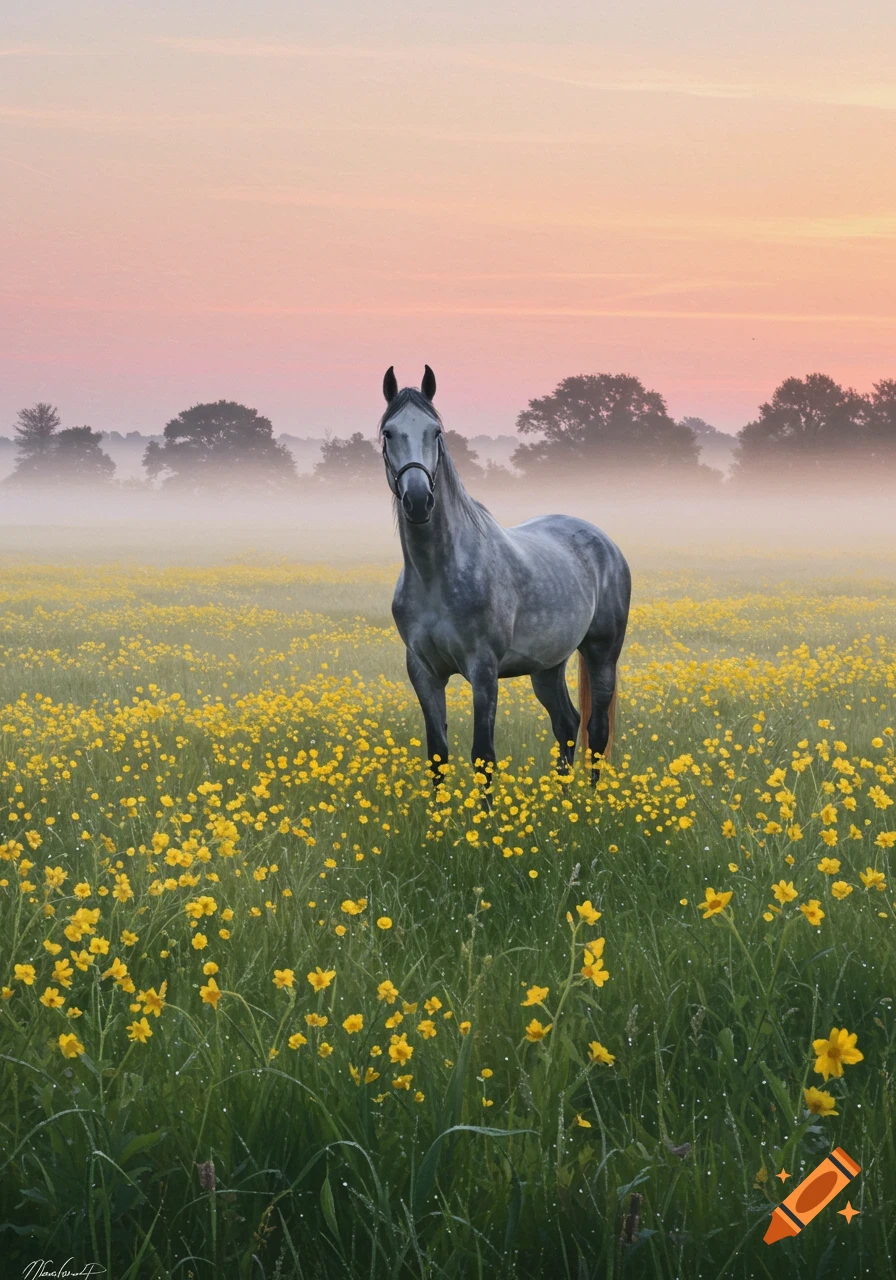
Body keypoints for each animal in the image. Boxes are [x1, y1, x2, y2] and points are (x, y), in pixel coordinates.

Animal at [380, 365, 631, 786]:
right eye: (388, 432)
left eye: (436, 432)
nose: (418, 500)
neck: (436, 574)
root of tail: (605, 543)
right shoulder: (424, 672)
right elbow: (437, 756)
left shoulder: (484, 671)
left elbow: (483, 756)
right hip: (548, 666)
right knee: (567, 724)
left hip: (602, 653)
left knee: (596, 731)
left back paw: (593, 801)